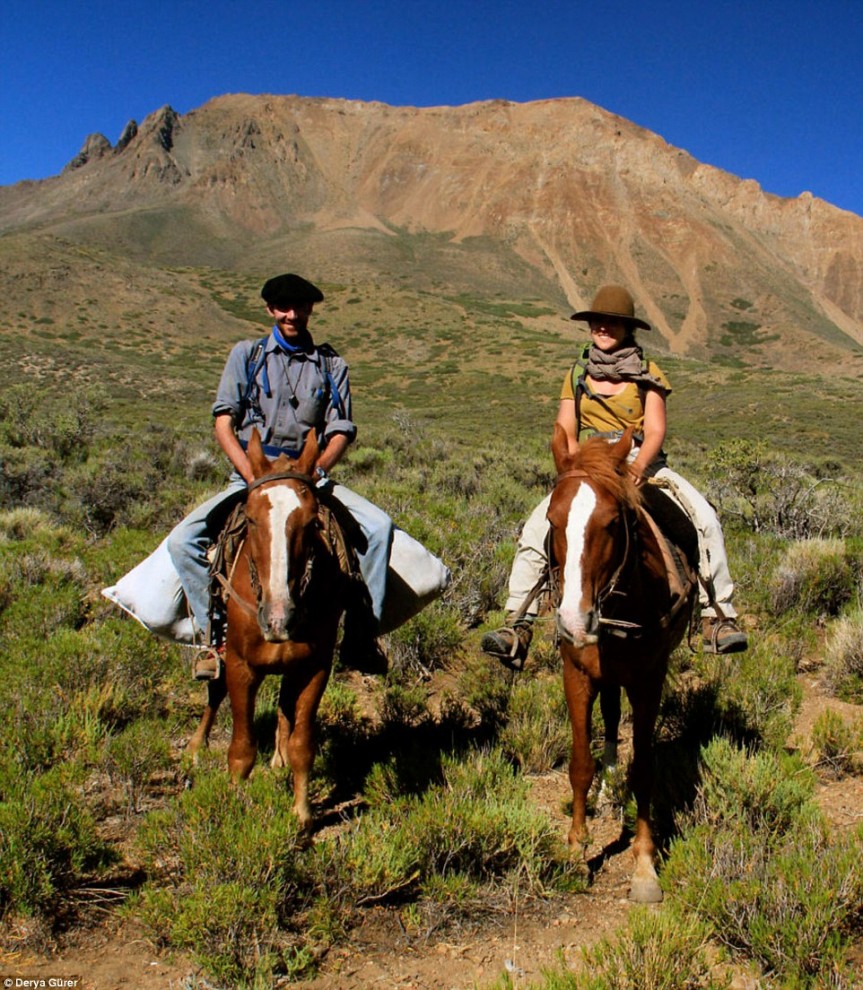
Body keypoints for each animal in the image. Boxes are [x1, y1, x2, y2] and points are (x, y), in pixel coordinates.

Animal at [189, 430, 344, 832]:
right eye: (252, 518)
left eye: (311, 521)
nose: (278, 619)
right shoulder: (241, 667)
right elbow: (241, 747)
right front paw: (232, 803)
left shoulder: (314, 669)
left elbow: (302, 744)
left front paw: (302, 813)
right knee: (214, 692)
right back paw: (194, 748)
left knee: (284, 709)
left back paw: (278, 760)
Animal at [548, 426, 696, 908]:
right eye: (552, 521)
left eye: (613, 522)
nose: (575, 620)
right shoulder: (575, 673)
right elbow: (580, 762)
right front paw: (576, 849)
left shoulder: (650, 678)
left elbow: (645, 767)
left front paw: (645, 866)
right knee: (611, 718)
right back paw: (607, 784)